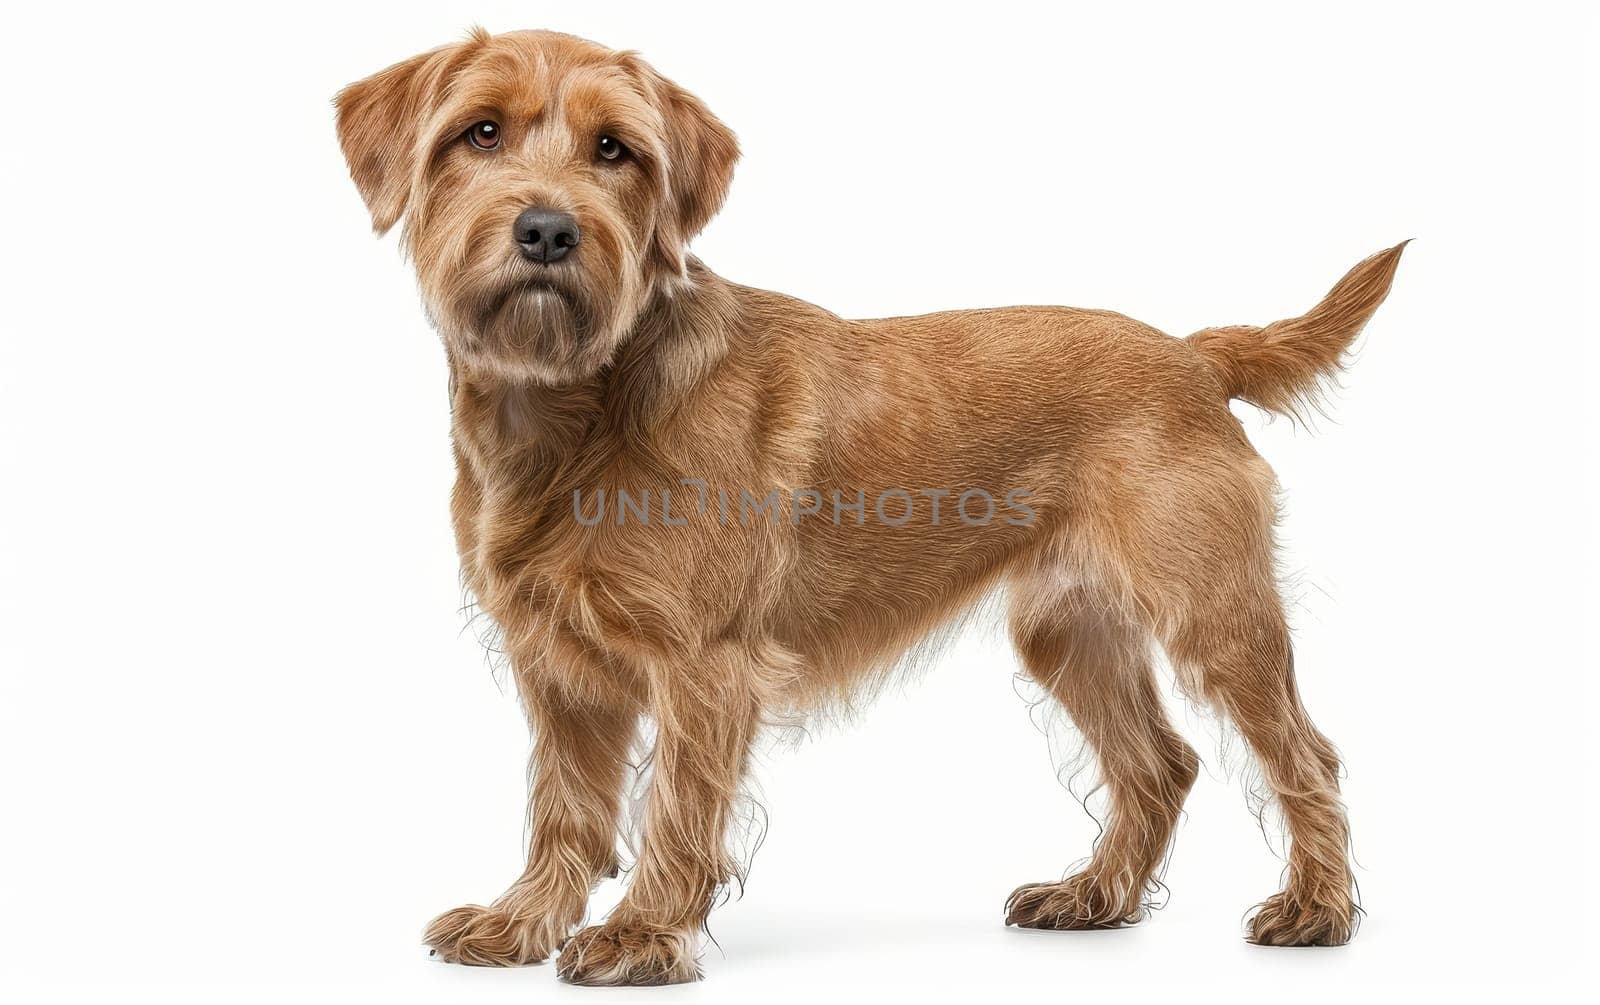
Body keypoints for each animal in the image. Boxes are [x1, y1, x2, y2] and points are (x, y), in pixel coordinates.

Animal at [334, 27, 1401, 985]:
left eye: (614, 149)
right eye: (479, 133)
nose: (549, 230)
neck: (576, 407)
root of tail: (1192, 354)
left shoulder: (702, 665)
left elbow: (675, 807)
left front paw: (642, 934)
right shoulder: (559, 668)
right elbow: (567, 805)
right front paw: (522, 922)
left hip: (1215, 617)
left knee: (1306, 754)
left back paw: (1316, 908)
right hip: (1071, 630)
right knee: (1159, 764)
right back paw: (1093, 896)